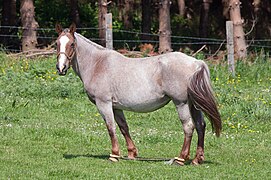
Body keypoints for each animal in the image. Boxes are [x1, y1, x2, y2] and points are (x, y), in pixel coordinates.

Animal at [55, 23, 223, 166]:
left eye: (72, 44)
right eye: (57, 43)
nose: (61, 68)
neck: (98, 64)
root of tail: (196, 62)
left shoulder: (104, 104)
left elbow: (111, 127)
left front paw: (114, 155)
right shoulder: (116, 107)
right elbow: (123, 127)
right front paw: (131, 153)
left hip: (181, 103)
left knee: (188, 127)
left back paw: (181, 158)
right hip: (194, 104)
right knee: (201, 126)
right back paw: (197, 159)